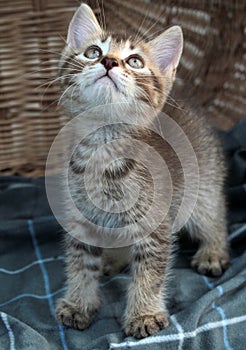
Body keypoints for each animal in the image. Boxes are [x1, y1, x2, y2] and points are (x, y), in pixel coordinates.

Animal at [54, 3, 230, 340]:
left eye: (135, 61)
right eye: (93, 52)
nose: (109, 61)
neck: (103, 146)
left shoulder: (156, 223)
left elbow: (150, 272)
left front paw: (144, 314)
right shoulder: (80, 220)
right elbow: (80, 264)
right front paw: (78, 303)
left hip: (202, 188)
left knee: (213, 217)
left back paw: (213, 250)